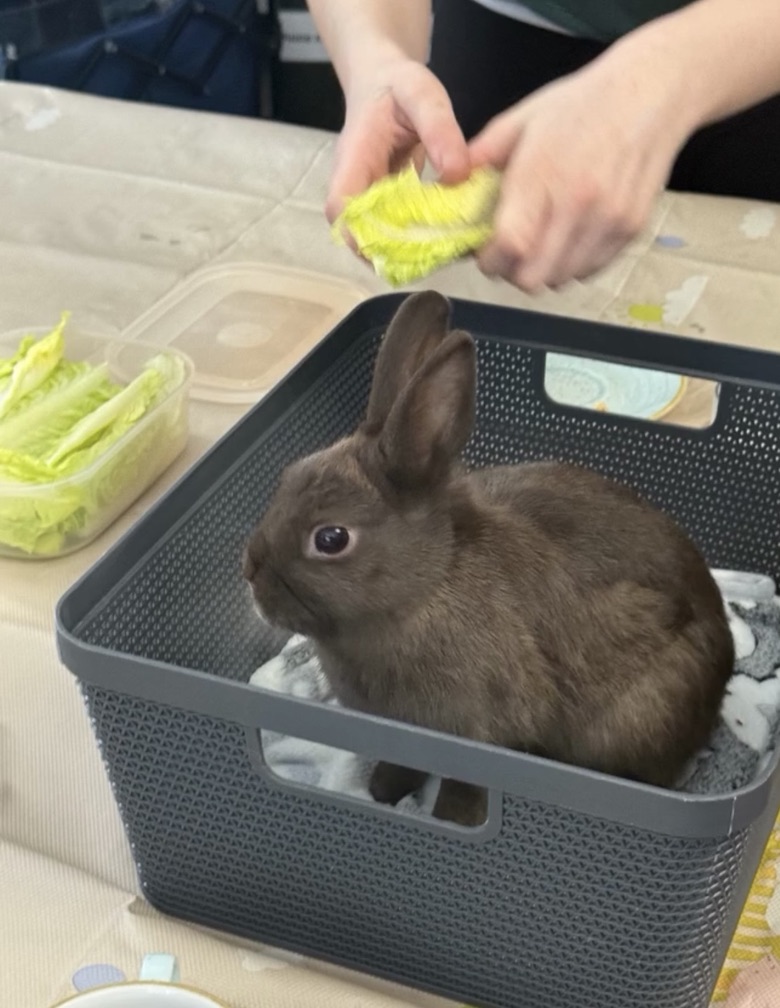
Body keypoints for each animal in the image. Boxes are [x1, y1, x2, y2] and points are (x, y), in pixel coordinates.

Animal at [243, 290, 734, 826]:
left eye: (330, 538)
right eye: (288, 477)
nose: (250, 573)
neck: (429, 585)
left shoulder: (480, 738)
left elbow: (465, 791)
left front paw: (446, 820)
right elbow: (400, 766)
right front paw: (382, 793)